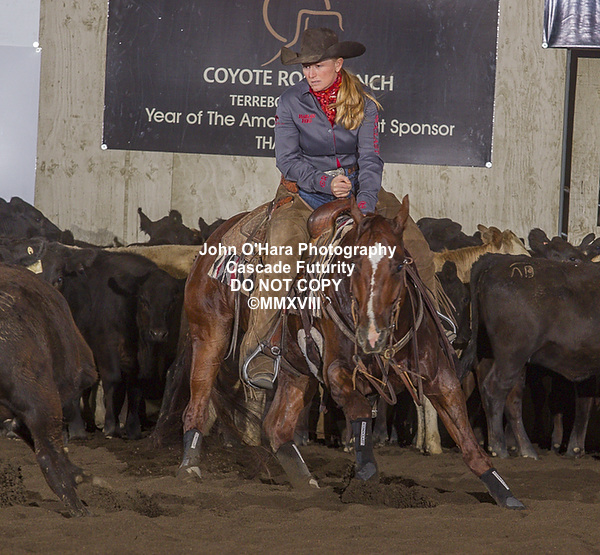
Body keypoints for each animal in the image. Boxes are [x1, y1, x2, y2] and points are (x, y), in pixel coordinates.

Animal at [177, 195, 524, 509]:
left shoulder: (439, 375)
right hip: (209, 335)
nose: (372, 335)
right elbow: (358, 411)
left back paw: (306, 481)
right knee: (198, 403)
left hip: (297, 368)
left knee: (277, 426)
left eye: (400, 263)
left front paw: (504, 493)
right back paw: (189, 466)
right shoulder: (336, 372)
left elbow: (465, 436)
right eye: (353, 262)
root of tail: (220, 233)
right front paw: (367, 475)